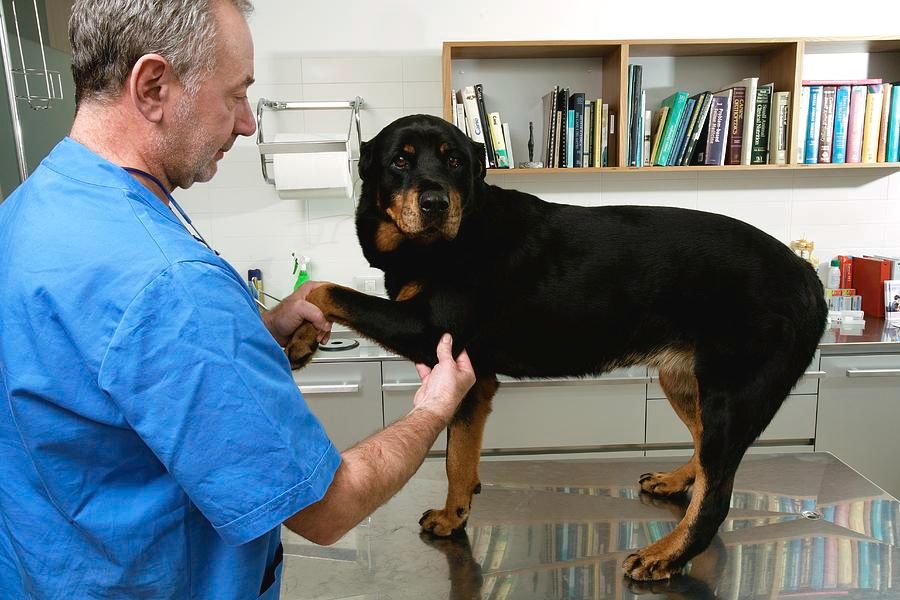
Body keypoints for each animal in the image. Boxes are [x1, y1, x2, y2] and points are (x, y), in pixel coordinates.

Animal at [290, 113, 828, 580]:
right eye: (399, 161)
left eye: (456, 162)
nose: (436, 204)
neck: (452, 238)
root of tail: (806, 274)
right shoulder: (472, 379)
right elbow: (459, 458)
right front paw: (454, 515)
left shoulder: (426, 329)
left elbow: (325, 290)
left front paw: (298, 334)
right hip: (684, 382)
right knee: (702, 455)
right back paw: (677, 483)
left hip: (730, 397)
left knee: (717, 496)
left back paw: (667, 554)